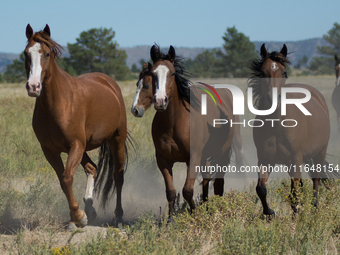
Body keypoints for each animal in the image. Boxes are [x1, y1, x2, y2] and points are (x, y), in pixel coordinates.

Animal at [22, 23, 129, 227]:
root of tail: (109, 82)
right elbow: (63, 180)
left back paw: (118, 215)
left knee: (118, 176)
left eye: (46, 54)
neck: (57, 104)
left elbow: (66, 177)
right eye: (26, 53)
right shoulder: (50, 150)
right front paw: (79, 215)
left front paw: (78, 216)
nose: (33, 86)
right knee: (92, 168)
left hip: (116, 140)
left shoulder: (75, 144)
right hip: (85, 147)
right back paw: (90, 209)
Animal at [130, 46, 244, 217]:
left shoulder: (193, 158)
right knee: (207, 178)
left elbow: (187, 190)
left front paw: (195, 214)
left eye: (172, 73)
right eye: (154, 75)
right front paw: (170, 219)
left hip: (222, 152)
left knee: (218, 183)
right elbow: (171, 192)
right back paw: (206, 204)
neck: (173, 124)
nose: (160, 101)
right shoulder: (163, 160)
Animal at [248, 44, 330, 215]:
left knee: (316, 180)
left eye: (284, 73)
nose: (274, 99)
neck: (276, 126)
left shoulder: (295, 158)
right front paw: (269, 213)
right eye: (263, 73)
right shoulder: (265, 159)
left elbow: (294, 194)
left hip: (320, 152)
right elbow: (261, 189)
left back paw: (314, 207)